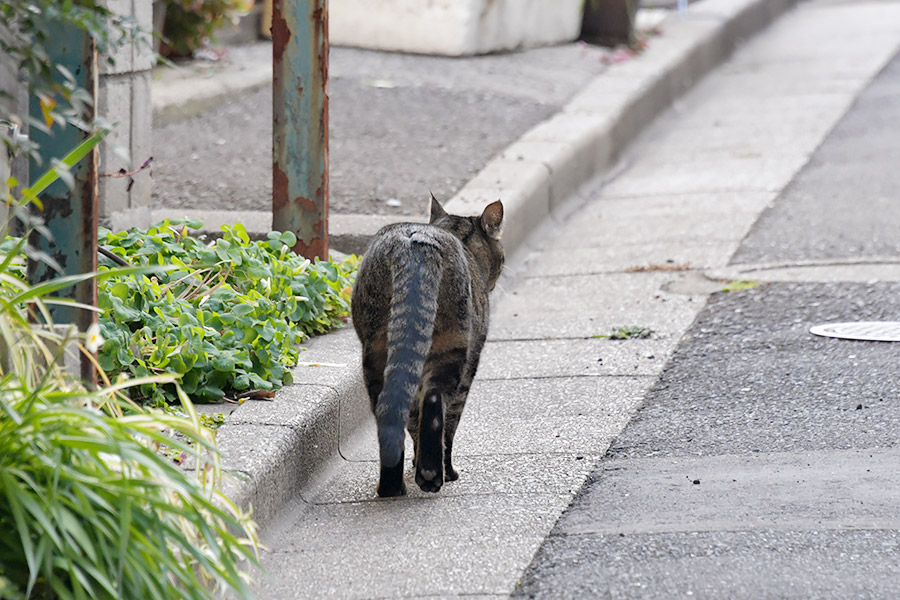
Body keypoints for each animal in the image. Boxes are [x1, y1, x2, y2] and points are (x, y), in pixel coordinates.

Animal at [352, 196, 506, 496]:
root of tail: (415, 243)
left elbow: (414, 422)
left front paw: (414, 462)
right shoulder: (471, 362)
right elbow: (448, 425)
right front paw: (445, 469)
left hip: (376, 349)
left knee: (391, 408)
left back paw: (391, 486)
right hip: (453, 344)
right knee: (436, 404)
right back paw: (433, 475)